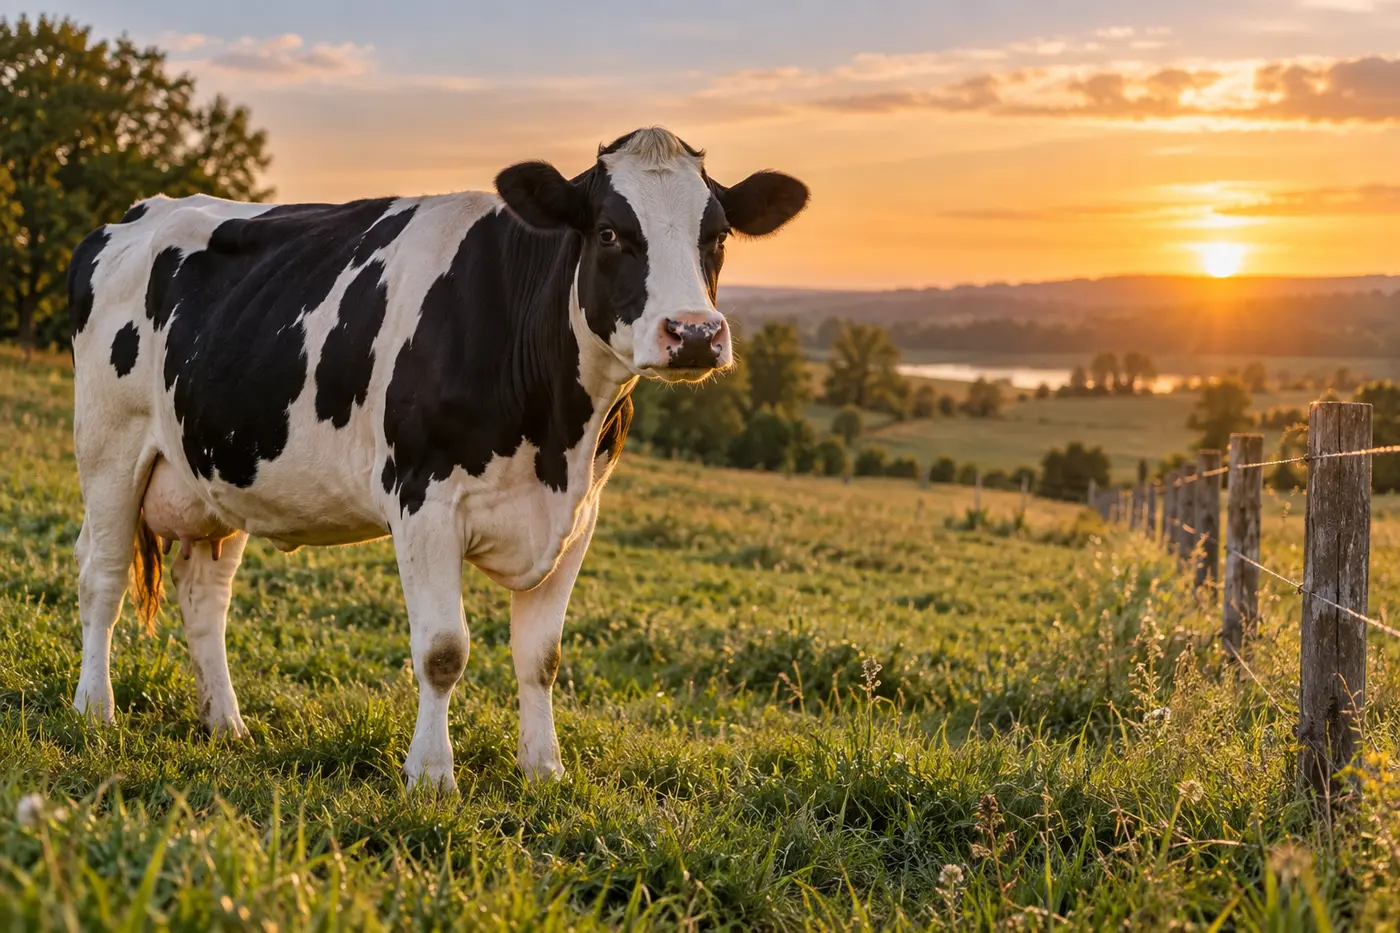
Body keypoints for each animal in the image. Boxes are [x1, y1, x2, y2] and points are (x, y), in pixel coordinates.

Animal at [66, 127, 808, 790]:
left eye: (717, 236)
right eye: (608, 233)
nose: (695, 333)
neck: (555, 435)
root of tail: (137, 213)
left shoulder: (579, 516)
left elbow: (541, 656)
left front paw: (544, 769)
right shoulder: (424, 499)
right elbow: (444, 649)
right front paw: (430, 774)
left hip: (215, 471)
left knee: (204, 596)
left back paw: (225, 723)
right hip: (108, 444)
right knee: (102, 575)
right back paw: (95, 709)